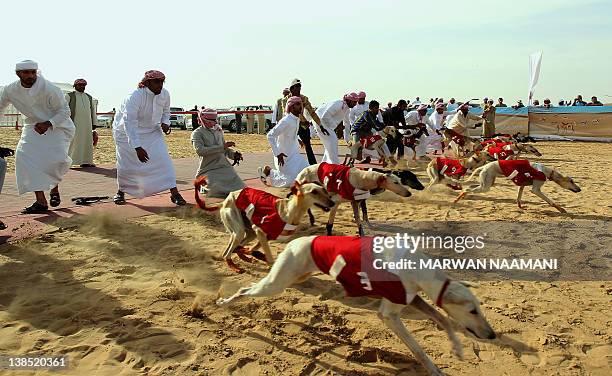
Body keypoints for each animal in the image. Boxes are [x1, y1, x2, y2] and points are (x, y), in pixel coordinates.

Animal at [194, 177, 334, 274]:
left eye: (324, 190)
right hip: (239, 230)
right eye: (314, 192)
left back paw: (243, 257)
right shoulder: (259, 231)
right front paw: (262, 257)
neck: (288, 211)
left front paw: (255, 254)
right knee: (228, 253)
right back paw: (235, 267)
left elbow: (252, 249)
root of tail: (223, 202)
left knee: (232, 248)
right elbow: (266, 256)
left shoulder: (266, 236)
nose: (332, 203)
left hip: (248, 233)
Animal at [218, 235, 494, 376]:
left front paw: (457, 349)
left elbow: (443, 319)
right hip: (277, 283)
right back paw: (223, 302)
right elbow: (418, 348)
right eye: (473, 311)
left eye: (480, 308)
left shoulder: (411, 298)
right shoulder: (389, 315)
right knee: (245, 290)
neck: (416, 266)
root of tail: (295, 241)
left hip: (296, 277)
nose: (491, 335)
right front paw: (435, 370)